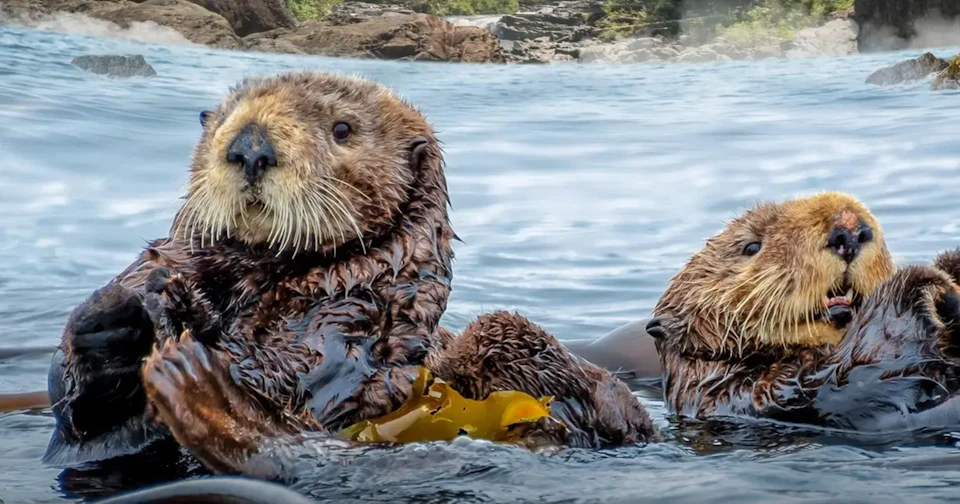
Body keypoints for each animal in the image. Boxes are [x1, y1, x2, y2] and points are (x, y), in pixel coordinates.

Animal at [44, 71, 658, 476]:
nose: (250, 147)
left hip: (514, 344)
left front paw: (185, 320)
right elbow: (86, 423)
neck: (260, 275)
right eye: (220, 121)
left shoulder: (353, 318)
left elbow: (296, 377)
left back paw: (200, 389)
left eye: (342, 129)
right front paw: (114, 315)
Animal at [647, 191, 960, 430]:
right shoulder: (776, 394)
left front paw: (949, 264)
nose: (848, 229)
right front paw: (923, 281)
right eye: (751, 246)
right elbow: (861, 372)